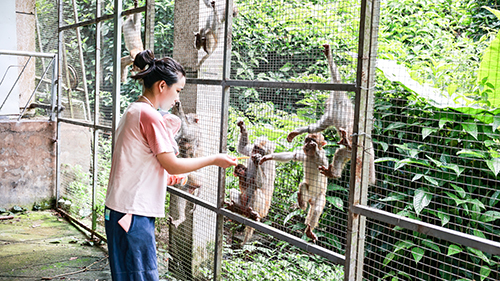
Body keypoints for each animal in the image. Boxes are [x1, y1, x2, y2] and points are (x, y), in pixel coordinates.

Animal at [286, 43, 376, 184]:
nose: (326, 105)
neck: (336, 106)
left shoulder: (339, 100)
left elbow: (336, 79)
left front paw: (329, 54)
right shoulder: (330, 116)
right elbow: (317, 127)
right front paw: (296, 132)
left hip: (365, 149)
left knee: (351, 127)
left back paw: (347, 140)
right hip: (352, 154)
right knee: (341, 153)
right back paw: (334, 172)